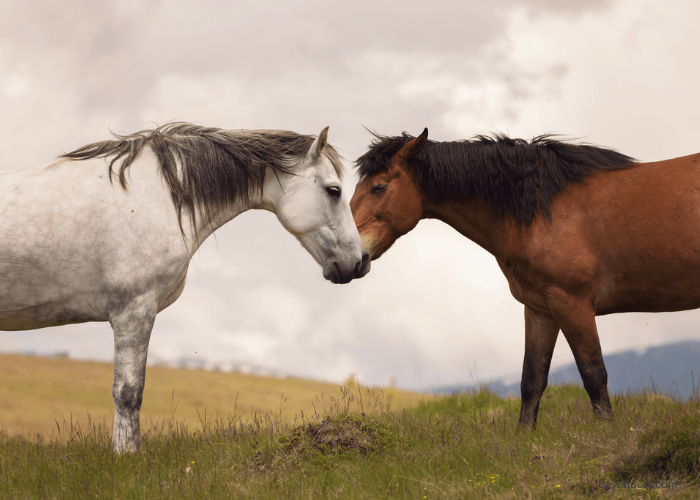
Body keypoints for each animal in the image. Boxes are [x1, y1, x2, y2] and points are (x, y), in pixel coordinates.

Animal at [0, 123, 360, 452]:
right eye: (334, 191)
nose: (357, 263)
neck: (156, 196)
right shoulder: (134, 311)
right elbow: (128, 392)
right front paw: (125, 455)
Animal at [352, 128, 700, 426]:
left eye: (379, 186)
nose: (350, 257)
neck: (541, 210)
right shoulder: (540, 309)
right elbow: (532, 380)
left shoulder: (572, 304)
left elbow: (593, 374)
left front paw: (608, 433)